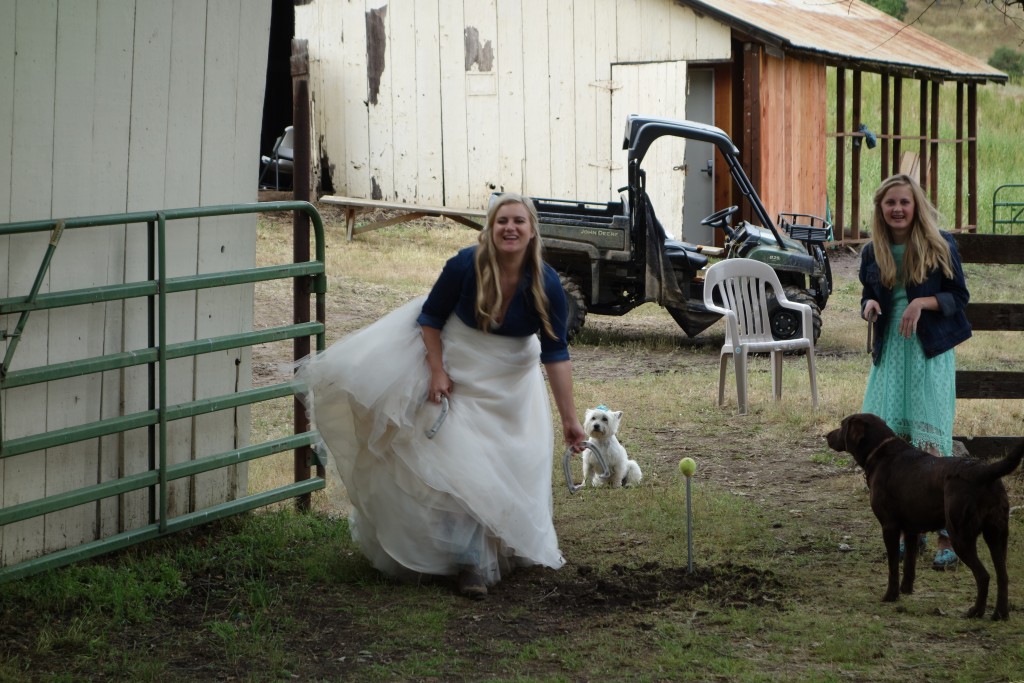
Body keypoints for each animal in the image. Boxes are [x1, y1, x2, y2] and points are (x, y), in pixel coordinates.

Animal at [827, 411, 1019, 618]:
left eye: (842, 425)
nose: (826, 435)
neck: (880, 452)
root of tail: (985, 471)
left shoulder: (889, 526)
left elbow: (893, 567)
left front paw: (891, 595)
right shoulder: (911, 529)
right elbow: (909, 563)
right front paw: (906, 590)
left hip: (960, 535)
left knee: (984, 575)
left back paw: (976, 611)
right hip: (997, 533)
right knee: (1003, 575)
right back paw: (1000, 615)